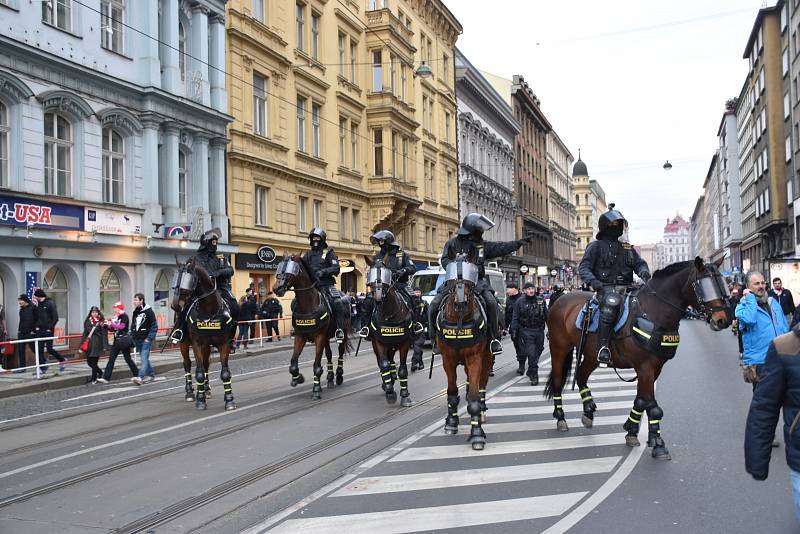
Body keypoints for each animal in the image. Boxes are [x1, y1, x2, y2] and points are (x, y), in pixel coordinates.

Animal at [173, 258, 238, 410]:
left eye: (187, 280)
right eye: (175, 281)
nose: (175, 305)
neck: (209, 311)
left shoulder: (224, 344)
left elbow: (224, 373)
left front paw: (229, 400)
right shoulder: (197, 343)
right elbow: (199, 372)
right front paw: (200, 400)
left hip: (207, 346)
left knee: (206, 363)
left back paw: (206, 389)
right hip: (185, 343)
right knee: (187, 363)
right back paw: (190, 392)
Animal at [272, 253, 350, 400]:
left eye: (291, 269)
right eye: (279, 268)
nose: (276, 288)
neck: (308, 304)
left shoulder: (319, 336)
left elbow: (317, 365)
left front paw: (316, 390)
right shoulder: (300, 336)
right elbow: (293, 363)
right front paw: (298, 378)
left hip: (343, 333)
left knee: (341, 352)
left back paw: (339, 376)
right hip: (326, 338)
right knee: (329, 355)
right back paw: (330, 378)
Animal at [360, 258, 412, 408]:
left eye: (386, 273)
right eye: (370, 274)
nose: (377, 297)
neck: (390, 315)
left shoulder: (404, 343)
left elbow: (402, 369)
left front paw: (405, 396)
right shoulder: (379, 343)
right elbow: (384, 365)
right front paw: (390, 392)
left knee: (391, 361)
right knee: (384, 362)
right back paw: (387, 383)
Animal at [434, 255, 490, 452]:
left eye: (469, 282)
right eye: (451, 283)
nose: (461, 303)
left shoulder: (475, 359)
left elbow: (474, 396)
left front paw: (477, 434)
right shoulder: (448, 360)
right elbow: (452, 392)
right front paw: (451, 422)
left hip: (487, 358)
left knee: (482, 384)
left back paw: (482, 412)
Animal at [544, 258, 732, 460]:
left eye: (722, 284)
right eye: (703, 286)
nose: (724, 320)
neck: (653, 312)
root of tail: (561, 300)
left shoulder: (655, 368)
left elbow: (641, 401)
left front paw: (633, 431)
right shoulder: (645, 368)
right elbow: (652, 405)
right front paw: (658, 443)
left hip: (592, 356)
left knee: (581, 376)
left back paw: (588, 412)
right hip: (559, 349)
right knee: (558, 381)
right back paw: (561, 418)